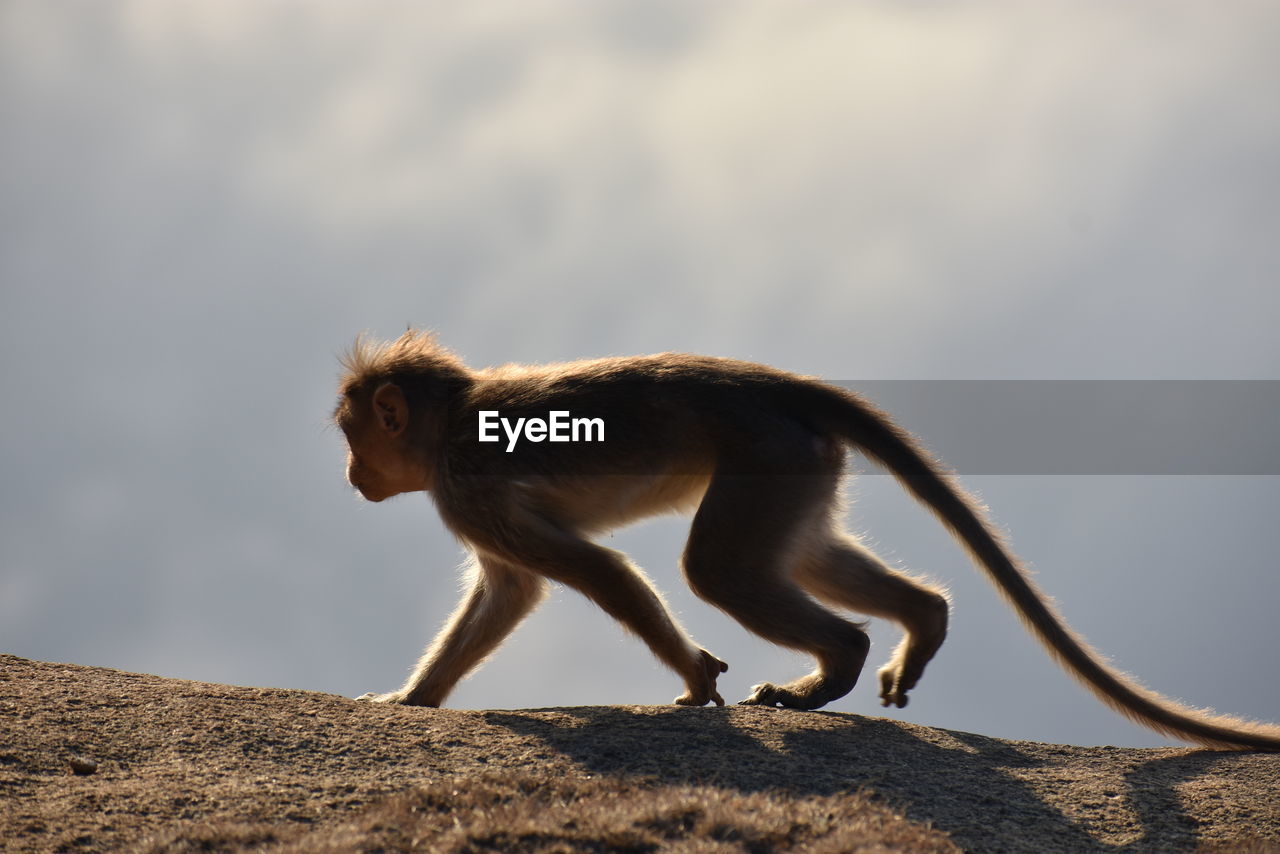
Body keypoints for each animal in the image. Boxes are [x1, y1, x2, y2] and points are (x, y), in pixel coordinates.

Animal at [335, 330, 1280, 752]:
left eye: (352, 434)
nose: (350, 476)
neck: (454, 418)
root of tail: (774, 384)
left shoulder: (465, 488)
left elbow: (591, 572)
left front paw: (694, 676)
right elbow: (512, 591)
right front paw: (414, 699)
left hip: (764, 450)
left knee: (719, 568)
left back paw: (837, 666)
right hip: (799, 462)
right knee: (799, 554)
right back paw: (920, 622)